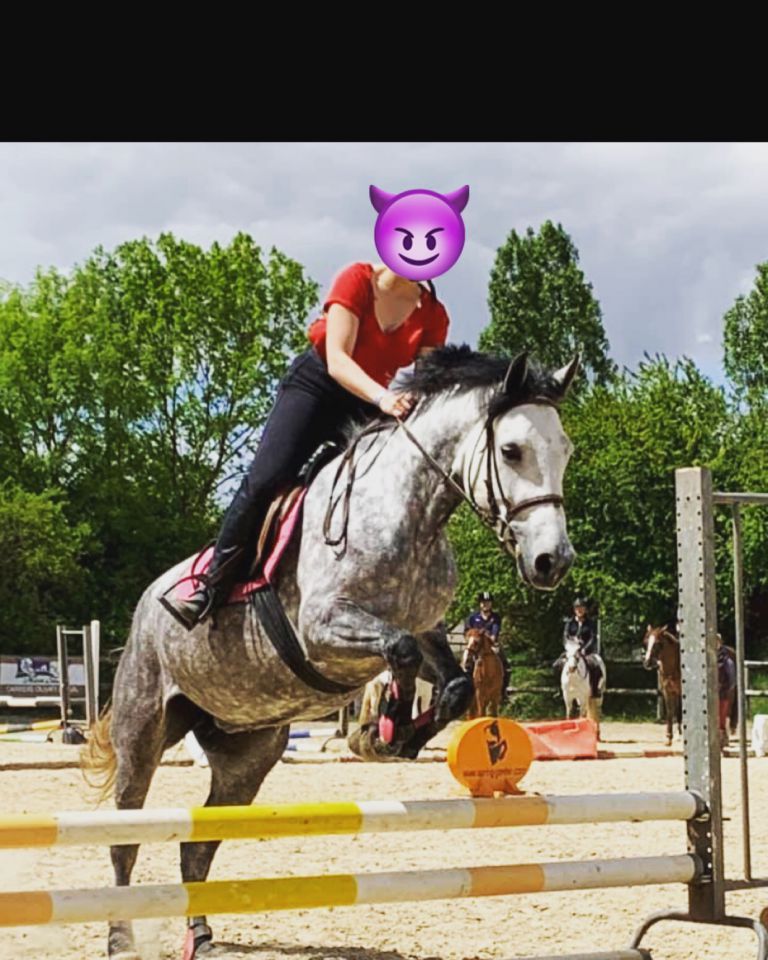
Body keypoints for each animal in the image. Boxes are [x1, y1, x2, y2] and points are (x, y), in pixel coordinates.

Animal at [83, 346, 578, 960]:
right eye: (511, 450)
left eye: (566, 450)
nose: (553, 561)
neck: (407, 513)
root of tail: (147, 601)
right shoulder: (323, 630)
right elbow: (399, 653)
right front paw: (382, 730)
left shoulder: (429, 627)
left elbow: (453, 682)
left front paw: (394, 739)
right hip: (143, 727)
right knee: (125, 838)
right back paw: (121, 938)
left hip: (246, 756)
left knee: (198, 844)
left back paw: (199, 936)